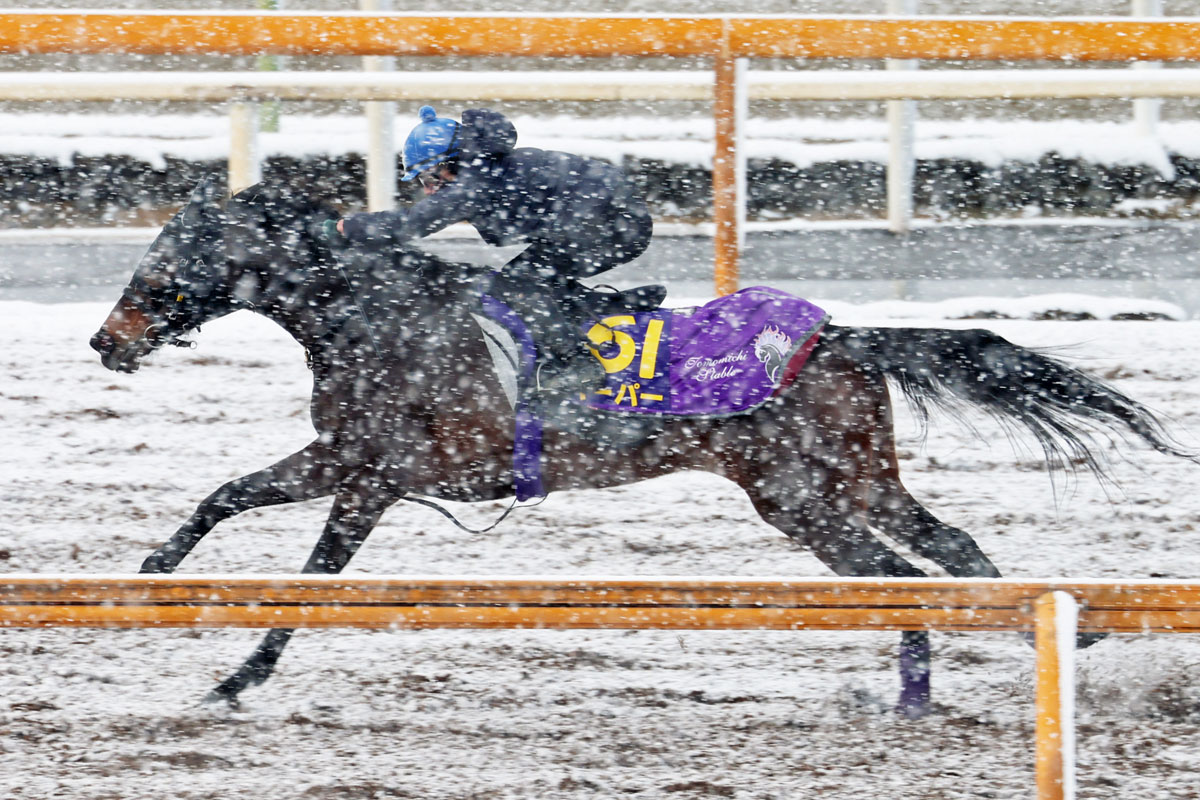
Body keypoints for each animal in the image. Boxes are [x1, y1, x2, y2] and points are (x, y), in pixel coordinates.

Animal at [90, 178, 1196, 715]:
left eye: (175, 252)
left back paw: (935, 679)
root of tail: (841, 335)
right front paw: (169, 587)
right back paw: (1026, 648)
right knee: (944, 547)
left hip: (803, 494)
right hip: (844, 485)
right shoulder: (357, 468)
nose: (109, 338)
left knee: (903, 576)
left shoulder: (374, 469)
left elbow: (291, 558)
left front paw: (221, 657)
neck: (379, 316)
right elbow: (244, 512)